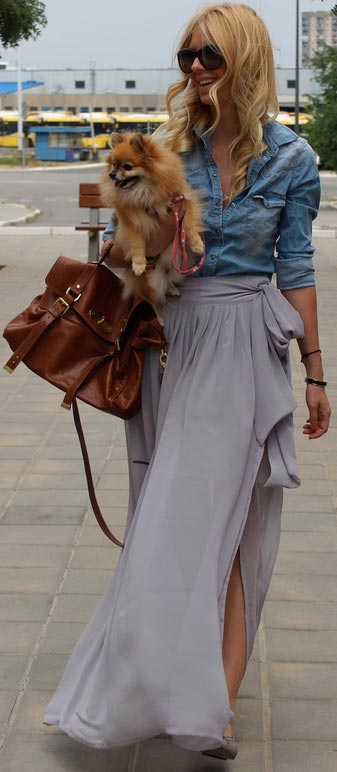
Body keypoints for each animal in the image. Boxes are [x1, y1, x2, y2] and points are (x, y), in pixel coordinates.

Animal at [100, 131, 203, 318]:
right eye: (113, 165)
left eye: (127, 167)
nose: (111, 174)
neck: (145, 191)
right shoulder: (131, 223)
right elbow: (137, 244)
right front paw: (139, 264)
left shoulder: (184, 201)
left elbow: (189, 225)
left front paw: (197, 244)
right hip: (153, 283)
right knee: (149, 300)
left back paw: (172, 288)